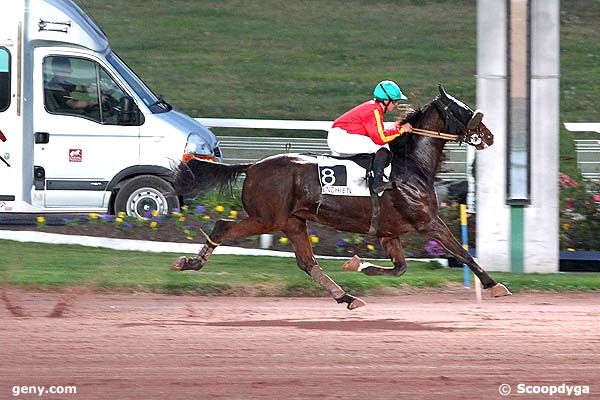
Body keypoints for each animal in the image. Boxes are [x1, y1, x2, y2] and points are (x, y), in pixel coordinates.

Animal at [170, 86, 510, 308]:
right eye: (464, 111)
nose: (489, 136)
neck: (410, 165)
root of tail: (252, 166)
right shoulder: (428, 222)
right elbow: (463, 252)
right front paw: (495, 285)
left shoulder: (390, 232)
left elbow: (400, 267)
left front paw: (359, 265)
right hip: (265, 219)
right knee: (221, 227)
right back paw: (190, 263)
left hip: (293, 223)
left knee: (307, 263)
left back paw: (346, 296)